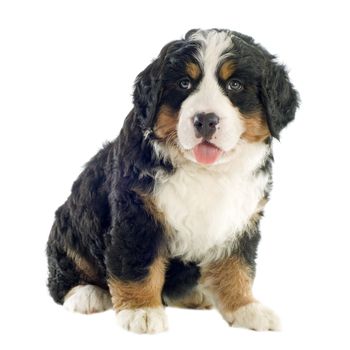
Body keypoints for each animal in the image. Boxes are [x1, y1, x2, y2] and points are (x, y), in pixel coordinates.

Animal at [45, 28, 298, 332]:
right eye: (184, 83)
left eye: (235, 85)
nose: (205, 120)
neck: (205, 172)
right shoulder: (138, 213)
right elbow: (138, 266)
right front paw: (141, 311)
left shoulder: (240, 219)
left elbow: (237, 266)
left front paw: (246, 308)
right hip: (73, 223)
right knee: (64, 273)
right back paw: (86, 294)